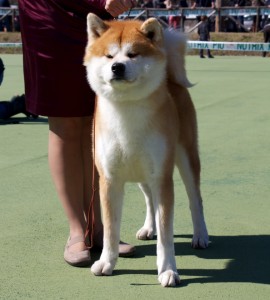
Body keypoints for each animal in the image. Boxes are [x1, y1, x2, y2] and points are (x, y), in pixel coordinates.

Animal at [84, 12, 209, 288]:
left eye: (133, 54)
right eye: (109, 56)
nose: (117, 67)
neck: (127, 111)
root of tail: (171, 80)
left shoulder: (162, 177)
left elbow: (166, 235)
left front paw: (168, 270)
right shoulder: (109, 179)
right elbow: (110, 230)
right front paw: (106, 262)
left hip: (185, 159)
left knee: (195, 200)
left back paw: (201, 235)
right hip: (142, 173)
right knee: (149, 200)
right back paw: (148, 228)